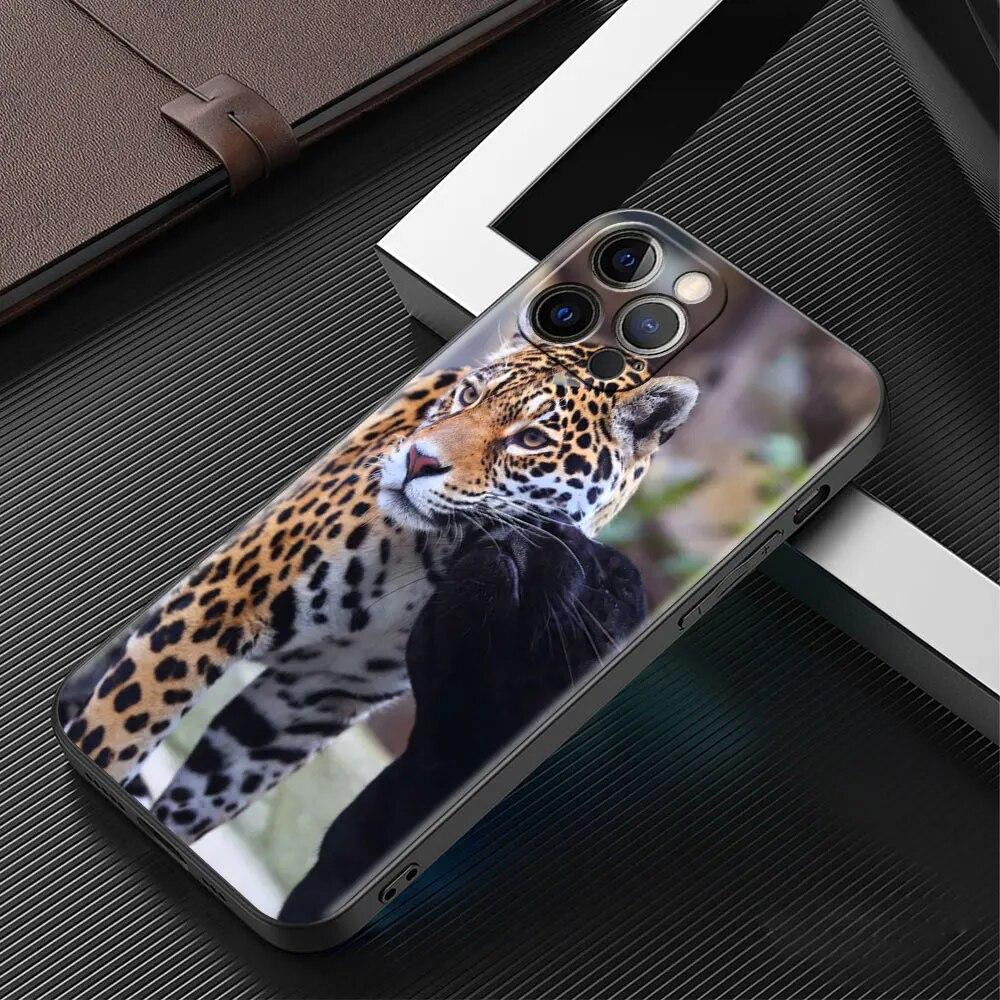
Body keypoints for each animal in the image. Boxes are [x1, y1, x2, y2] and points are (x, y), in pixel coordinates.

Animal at [63, 336, 698, 844]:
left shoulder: (309, 702)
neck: (438, 556)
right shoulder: (221, 603)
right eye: (470, 395)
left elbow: (204, 797)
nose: (417, 459)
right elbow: (118, 730)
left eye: (532, 438)